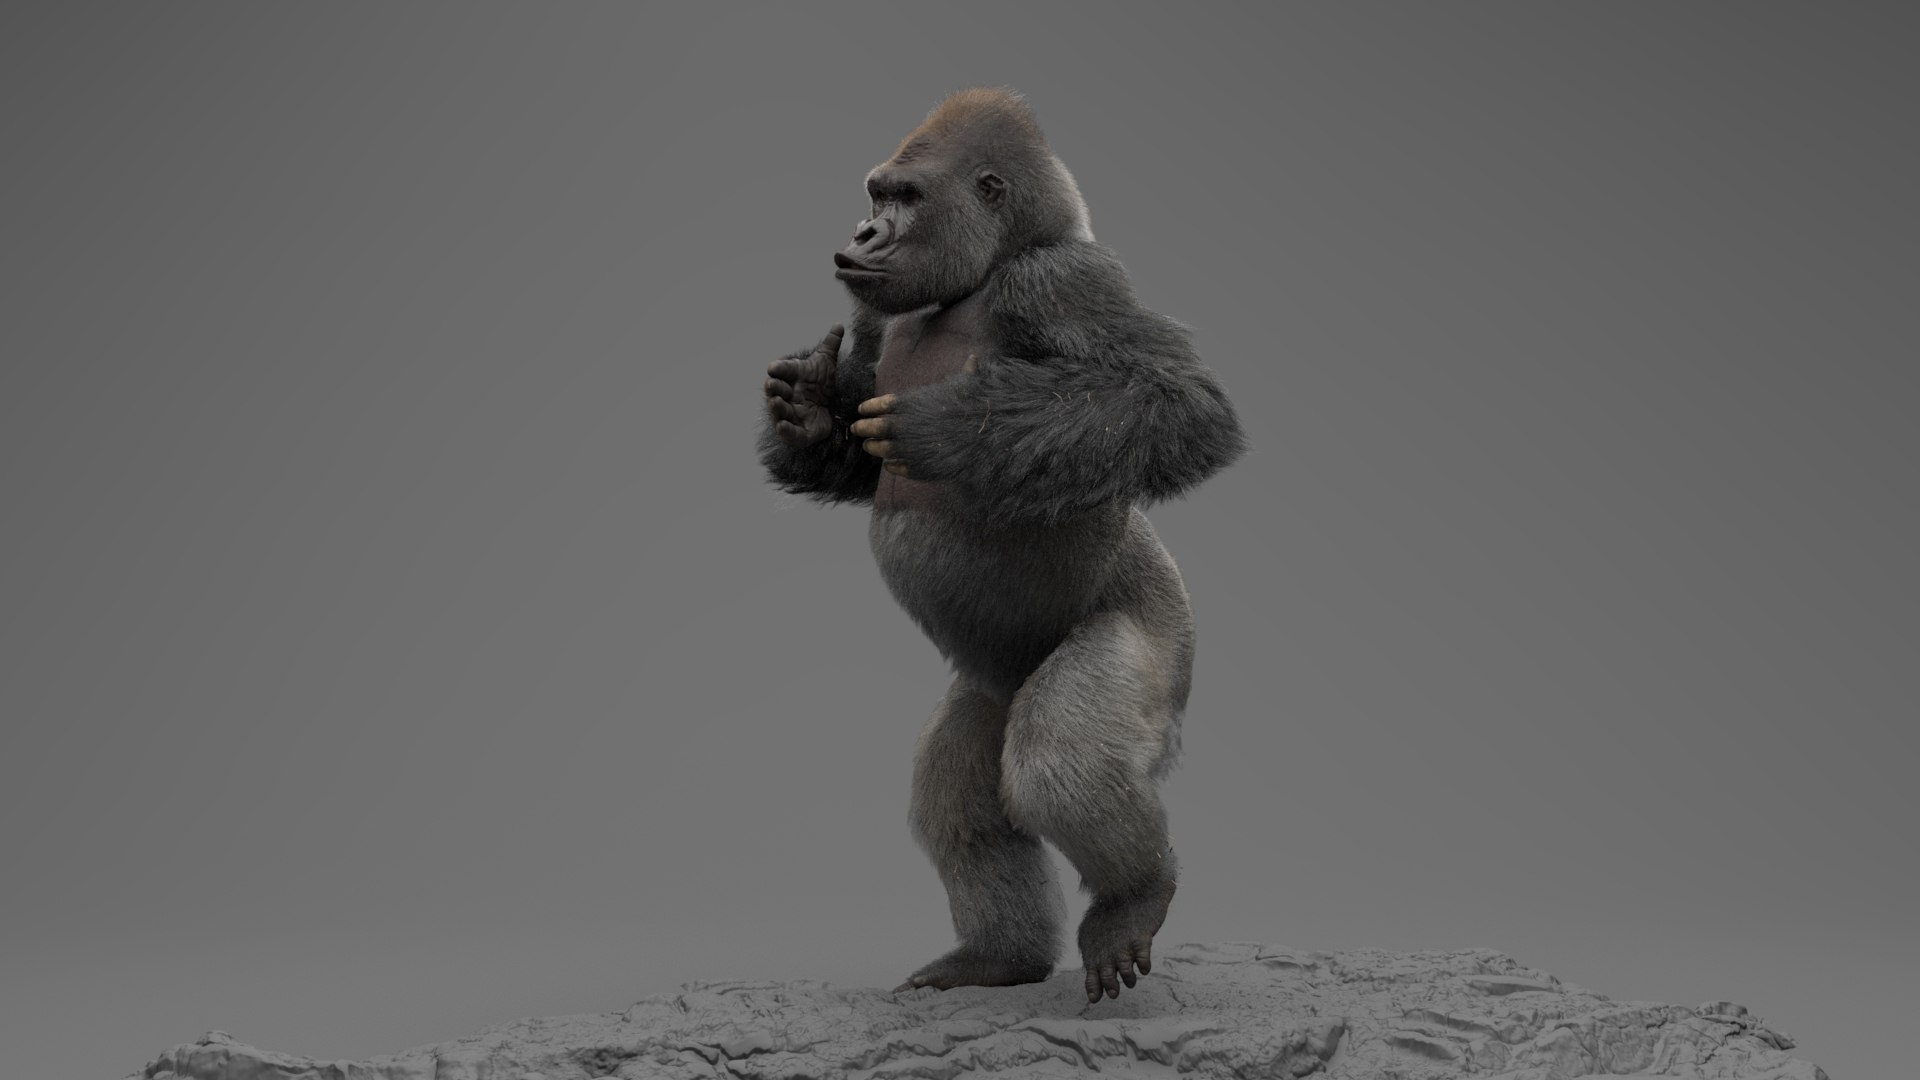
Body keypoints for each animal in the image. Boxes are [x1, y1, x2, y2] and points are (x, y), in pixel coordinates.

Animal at [758, 88, 1246, 1004]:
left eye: (904, 198)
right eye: (878, 195)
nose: (863, 231)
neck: (982, 274)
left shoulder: (1065, 282)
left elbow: (1178, 404)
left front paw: (960, 425)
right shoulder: (875, 312)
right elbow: (849, 453)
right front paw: (806, 413)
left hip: (1164, 637)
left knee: (1063, 767)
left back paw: (1136, 896)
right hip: (989, 686)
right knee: (958, 802)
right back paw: (999, 956)